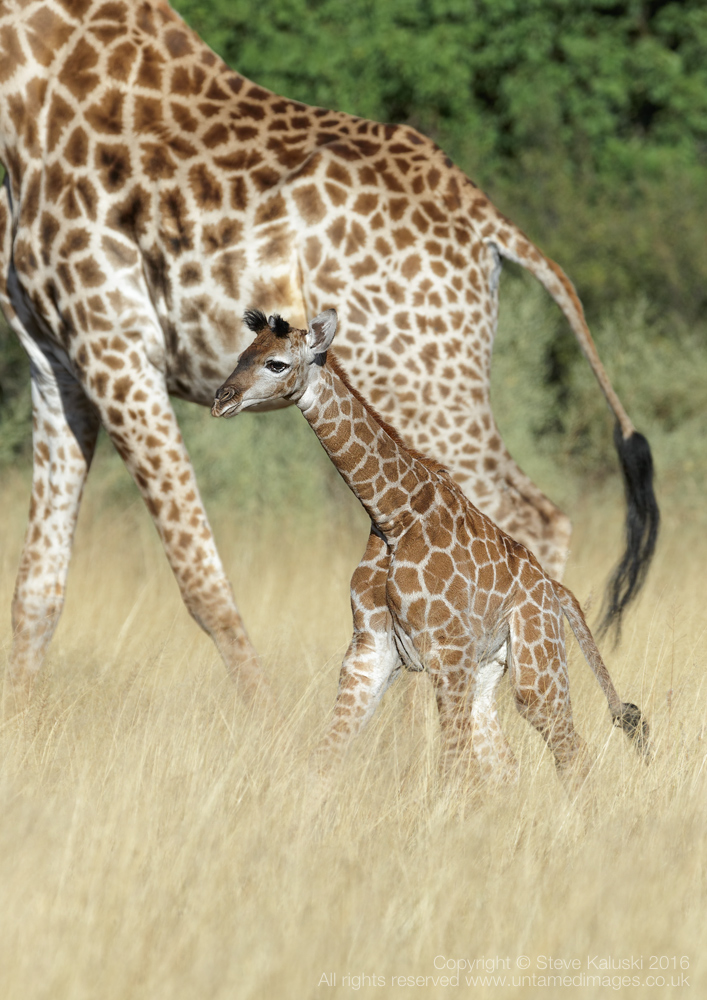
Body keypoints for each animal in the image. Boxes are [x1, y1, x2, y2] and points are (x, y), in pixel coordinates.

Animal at [0, 0, 658, 697]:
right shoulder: (56, 363)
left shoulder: (114, 343)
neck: (25, 88)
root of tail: (490, 224)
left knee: (521, 521)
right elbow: (37, 589)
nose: (222, 398)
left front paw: (264, 713)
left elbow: (200, 580)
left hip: (422, 381)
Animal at [212, 309, 650, 782]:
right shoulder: (370, 650)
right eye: (241, 355)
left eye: (276, 364)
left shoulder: (449, 651)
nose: (222, 399)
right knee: (508, 764)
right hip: (492, 671)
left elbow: (455, 765)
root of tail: (556, 591)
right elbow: (327, 753)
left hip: (537, 667)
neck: (393, 516)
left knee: (570, 753)